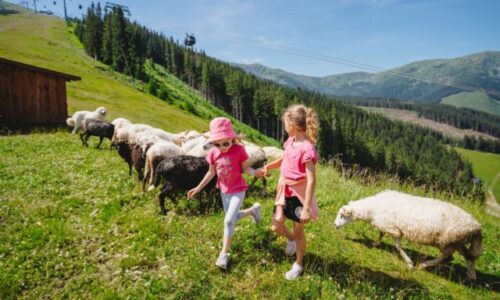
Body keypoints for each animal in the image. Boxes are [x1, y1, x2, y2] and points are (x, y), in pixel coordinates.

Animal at [334, 191, 482, 280]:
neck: (371, 210)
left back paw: (424, 265)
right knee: (469, 257)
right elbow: (381, 234)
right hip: (457, 241)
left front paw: (409, 263)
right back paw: (471, 276)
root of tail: (476, 226)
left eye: (342, 216)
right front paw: (375, 243)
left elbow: (397, 246)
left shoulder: (393, 228)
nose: (334, 225)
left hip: (448, 240)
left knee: (448, 257)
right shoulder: (387, 225)